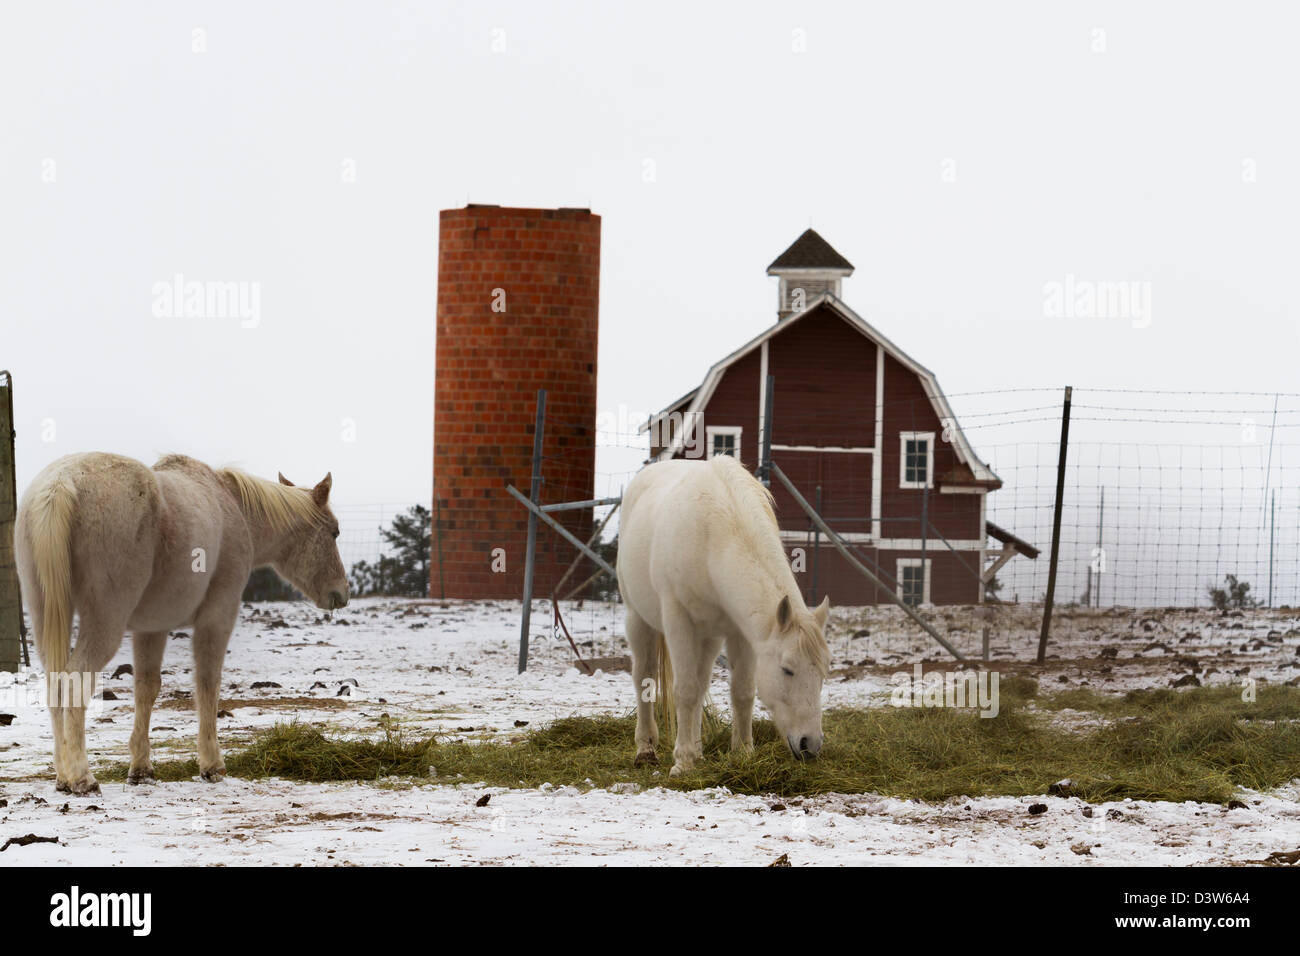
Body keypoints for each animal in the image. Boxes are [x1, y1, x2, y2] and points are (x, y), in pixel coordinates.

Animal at [14, 452, 349, 795]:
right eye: (334, 532)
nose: (341, 593)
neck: (231, 506)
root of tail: (60, 484)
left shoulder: (151, 628)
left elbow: (146, 689)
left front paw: (141, 769)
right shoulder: (217, 618)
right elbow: (208, 684)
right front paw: (212, 765)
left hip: (45, 615)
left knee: (55, 681)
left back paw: (63, 777)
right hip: (103, 622)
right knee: (74, 678)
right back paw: (82, 777)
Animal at [615, 454, 830, 775]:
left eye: (823, 672)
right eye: (787, 669)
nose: (810, 745)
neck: (713, 534)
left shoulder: (740, 633)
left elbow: (741, 692)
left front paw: (743, 754)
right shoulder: (679, 622)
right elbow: (685, 690)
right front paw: (682, 764)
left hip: (709, 637)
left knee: (701, 682)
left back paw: (698, 751)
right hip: (638, 619)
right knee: (645, 676)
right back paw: (646, 749)